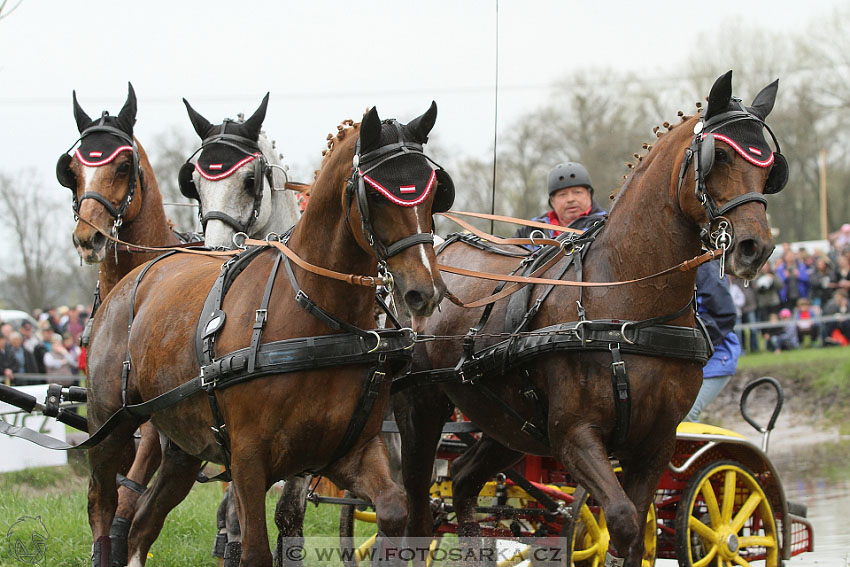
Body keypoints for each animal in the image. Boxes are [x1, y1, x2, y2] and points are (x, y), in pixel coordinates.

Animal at [85, 103, 450, 567]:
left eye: (434, 191)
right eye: (376, 194)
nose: (424, 291)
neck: (318, 317)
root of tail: (129, 281)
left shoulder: (351, 451)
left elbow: (392, 509)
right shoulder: (247, 461)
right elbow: (254, 547)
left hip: (182, 444)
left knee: (142, 523)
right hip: (109, 425)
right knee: (103, 505)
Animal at [394, 72, 784, 567]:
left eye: (769, 166)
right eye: (722, 156)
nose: (755, 248)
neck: (628, 307)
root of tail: (434, 258)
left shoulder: (655, 443)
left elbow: (637, 533)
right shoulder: (575, 435)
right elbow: (619, 519)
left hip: (509, 425)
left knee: (462, 480)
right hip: (422, 409)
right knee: (418, 510)